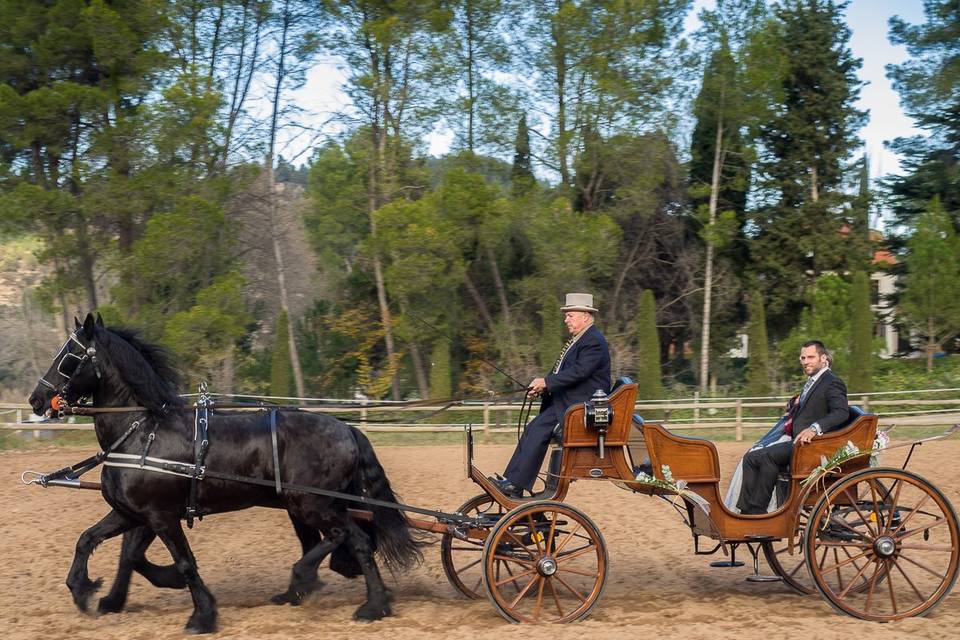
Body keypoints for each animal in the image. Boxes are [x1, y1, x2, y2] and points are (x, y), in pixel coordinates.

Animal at [29, 312, 420, 632]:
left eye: (69, 357)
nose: (36, 399)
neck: (143, 431)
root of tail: (347, 428)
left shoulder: (160, 516)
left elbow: (184, 563)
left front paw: (202, 615)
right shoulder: (132, 513)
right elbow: (91, 541)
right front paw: (84, 590)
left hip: (314, 504)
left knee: (351, 539)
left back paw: (360, 602)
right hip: (307, 506)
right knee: (345, 540)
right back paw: (318, 592)